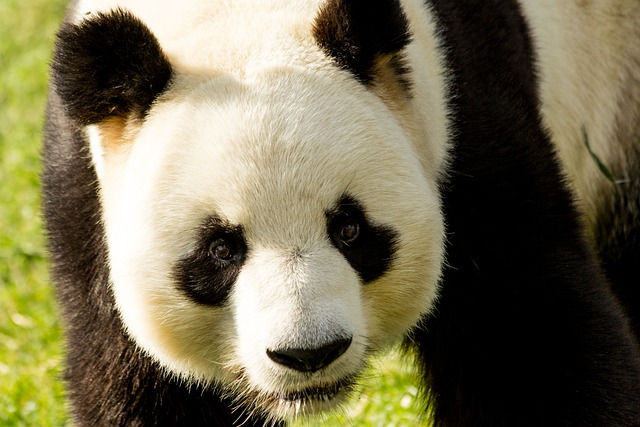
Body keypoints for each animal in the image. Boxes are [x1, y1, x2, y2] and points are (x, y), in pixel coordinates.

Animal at [43, 0, 640, 425]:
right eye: (221, 249)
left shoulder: (466, 127)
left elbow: (531, 341)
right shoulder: (87, 200)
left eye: (350, 229)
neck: (238, 16)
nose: (309, 354)